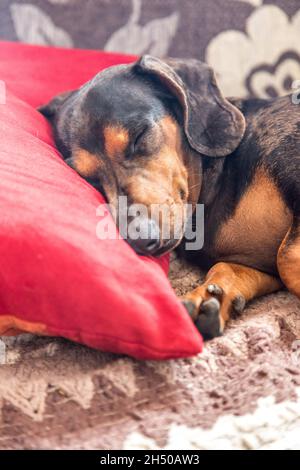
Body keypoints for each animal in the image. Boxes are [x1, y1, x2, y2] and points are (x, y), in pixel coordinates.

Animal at [39, 57, 300, 340]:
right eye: (88, 178)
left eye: (140, 135)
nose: (141, 239)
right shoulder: (257, 267)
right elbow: (232, 267)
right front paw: (209, 299)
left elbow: (286, 258)